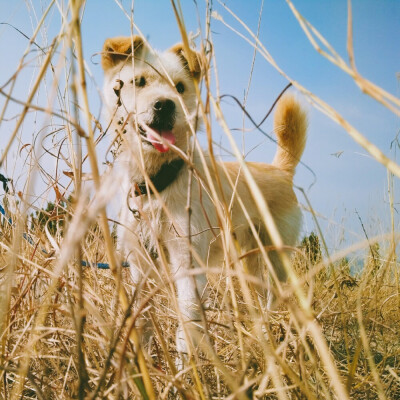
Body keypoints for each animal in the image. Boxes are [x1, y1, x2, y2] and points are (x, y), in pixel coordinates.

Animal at [101, 36, 308, 358]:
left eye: (180, 87)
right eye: (139, 81)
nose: (164, 105)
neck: (156, 185)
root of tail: (280, 171)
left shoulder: (188, 264)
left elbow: (187, 326)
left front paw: (185, 365)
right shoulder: (139, 266)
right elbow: (143, 320)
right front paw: (143, 360)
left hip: (276, 257)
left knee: (276, 298)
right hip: (251, 260)